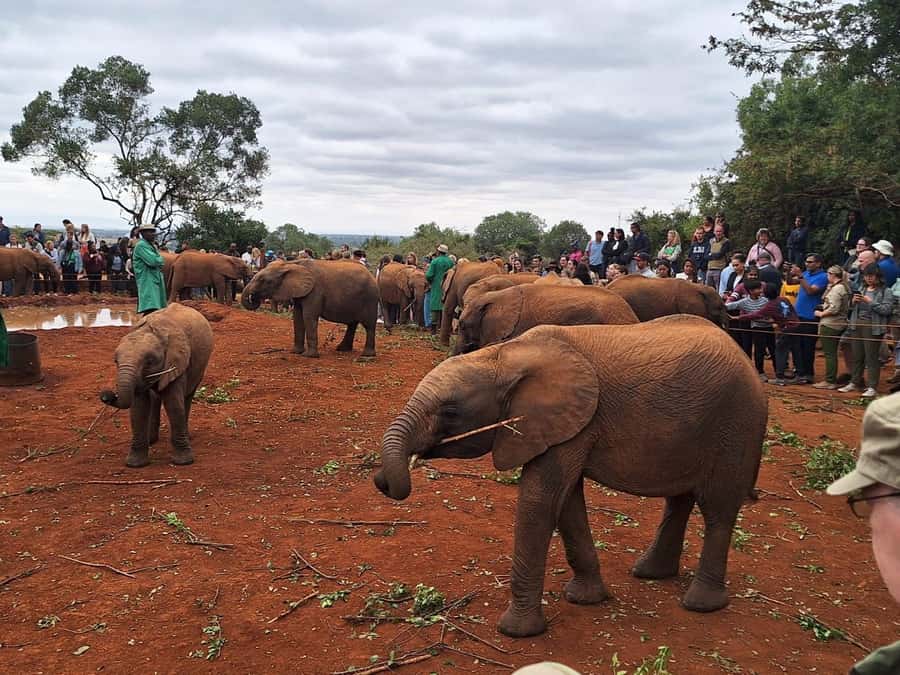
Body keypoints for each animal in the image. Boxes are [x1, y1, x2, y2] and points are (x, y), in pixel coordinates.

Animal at [99, 303, 214, 467]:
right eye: (116, 361)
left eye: (149, 361)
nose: (106, 395)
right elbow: (138, 408)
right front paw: (135, 464)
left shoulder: (177, 362)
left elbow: (173, 404)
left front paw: (183, 462)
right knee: (154, 399)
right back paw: (152, 440)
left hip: (200, 366)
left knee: (187, 396)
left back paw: (186, 437)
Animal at [241, 259, 378, 358]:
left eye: (263, 280)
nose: (253, 298)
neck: (291, 264)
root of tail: (371, 275)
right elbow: (297, 317)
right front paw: (295, 352)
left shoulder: (315, 291)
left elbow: (308, 316)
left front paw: (309, 356)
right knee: (352, 324)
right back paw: (342, 349)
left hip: (370, 298)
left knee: (369, 326)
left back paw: (367, 355)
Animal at [374, 316, 767, 637]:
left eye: (451, 411)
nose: (383, 481)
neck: (505, 355)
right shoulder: (565, 426)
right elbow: (566, 502)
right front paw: (585, 599)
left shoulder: (572, 420)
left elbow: (541, 499)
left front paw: (517, 632)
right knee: (680, 499)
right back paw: (651, 573)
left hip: (736, 425)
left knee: (717, 509)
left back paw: (700, 604)